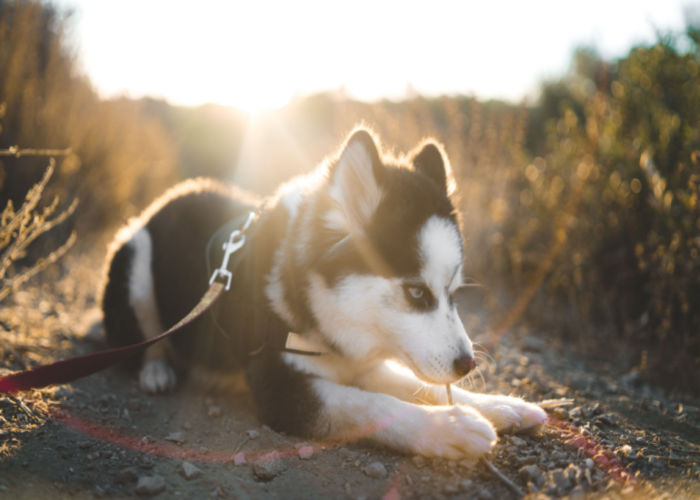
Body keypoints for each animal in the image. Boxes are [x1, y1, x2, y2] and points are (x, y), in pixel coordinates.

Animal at [101, 128, 548, 458]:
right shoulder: (279, 388)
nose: (468, 364)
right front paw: (451, 426)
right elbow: (370, 405)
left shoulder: (359, 361)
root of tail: (167, 198)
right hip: (135, 257)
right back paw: (156, 369)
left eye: (453, 292)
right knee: (142, 337)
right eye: (417, 293)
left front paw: (500, 405)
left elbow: (416, 385)